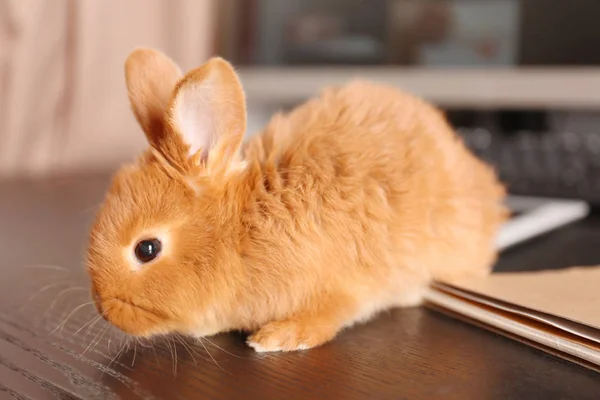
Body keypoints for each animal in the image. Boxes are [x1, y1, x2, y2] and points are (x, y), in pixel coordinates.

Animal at [85, 47, 506, 354]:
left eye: (147, 249)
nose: (107, 311)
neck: (238, 229)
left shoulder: (339, 287)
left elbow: (326, 317)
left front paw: (276, 339)